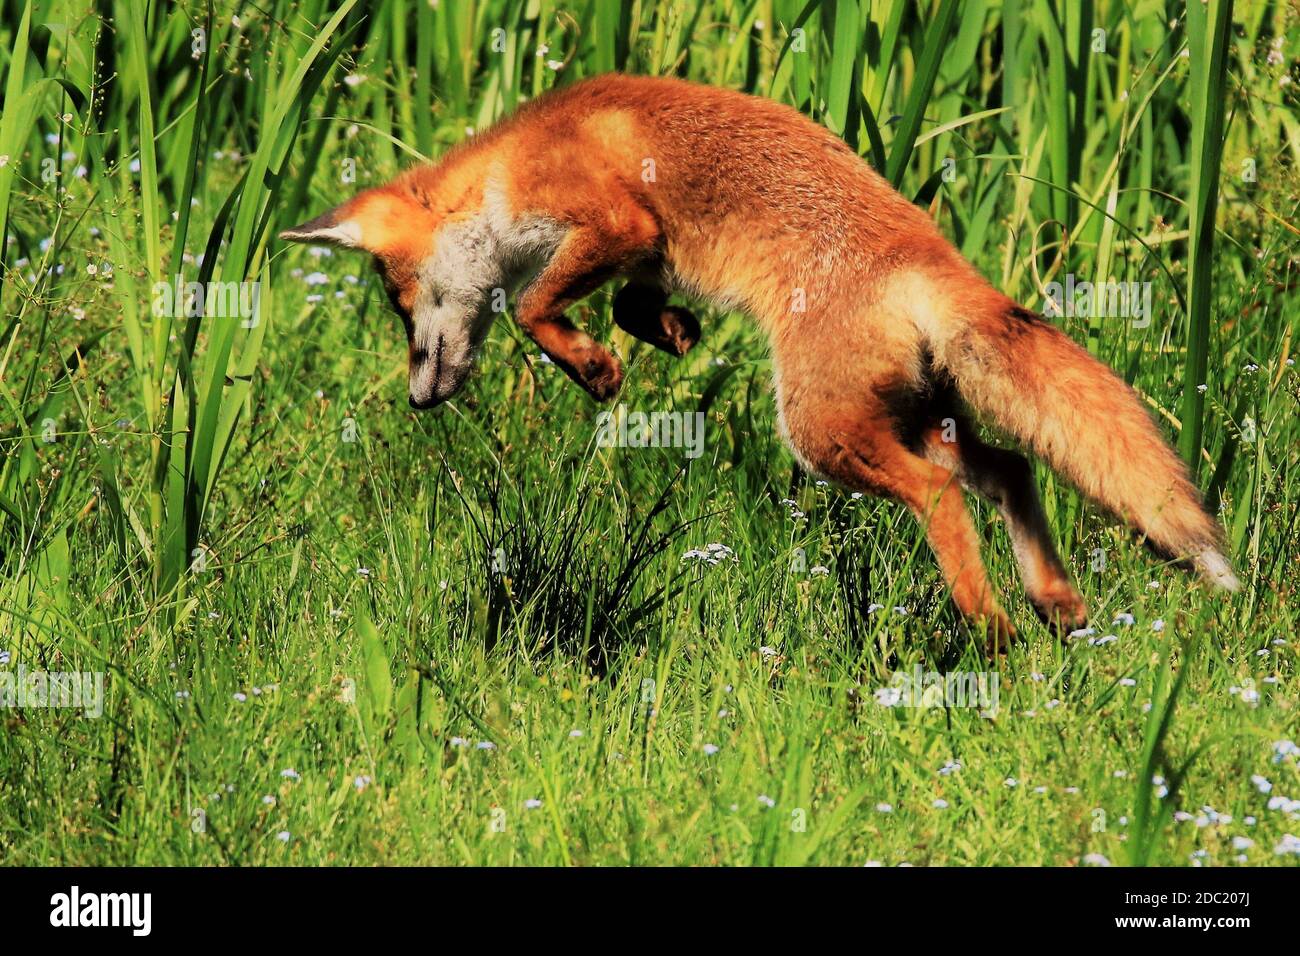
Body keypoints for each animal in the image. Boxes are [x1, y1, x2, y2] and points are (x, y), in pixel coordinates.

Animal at [281, 73, 1239, 651]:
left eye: (399, 305)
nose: (419, 398)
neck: (506, 173)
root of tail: (925, 252)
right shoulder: (649, 249)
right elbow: (627, 304)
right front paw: (668, 336)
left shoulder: (613, 222)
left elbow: (532, 307)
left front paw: (595, 370)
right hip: (915, 413)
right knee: (1009, 470)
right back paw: (1054, 604)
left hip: (823, 432)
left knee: (941, 494)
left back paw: (990, 624)